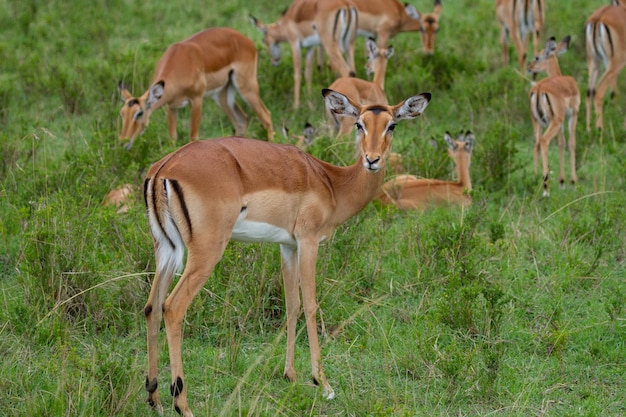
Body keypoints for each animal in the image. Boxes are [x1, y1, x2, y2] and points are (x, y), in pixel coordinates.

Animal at [117, 27, 272, 149]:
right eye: (122, 113)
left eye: (139, 113)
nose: (123, 142)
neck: (179, 63)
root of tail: (247, 40)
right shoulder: (171, 106)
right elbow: (172, 139)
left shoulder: (197, 99)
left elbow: (193, 137)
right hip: (222, 94)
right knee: (241, 120)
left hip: (247, 87)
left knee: (266, 116)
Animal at [141, 88, 428, 412]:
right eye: (359, 124)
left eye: (391, 125)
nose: (372, 160)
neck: (332, 183)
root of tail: (164, 169)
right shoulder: (308, 240)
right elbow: (312, 304)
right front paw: (323, 383)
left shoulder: (287, 246)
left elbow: (293, 305)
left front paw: (290, 375)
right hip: (206, 252)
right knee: (173, 308)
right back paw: (182, 405)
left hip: (166, 250)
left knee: (152, 307)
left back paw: (154, 397)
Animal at [524, 35, 576, 197]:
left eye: (537, 57)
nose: (529, 67)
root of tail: (539, 88)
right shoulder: (573, 114)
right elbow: (571, 143)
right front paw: (572, 182)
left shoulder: (561, 121)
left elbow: (561, 143)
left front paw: (562, 182)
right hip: (554, 122)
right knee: (544, 141)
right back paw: (546, 188)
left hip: (538, 122)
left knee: (536, 145)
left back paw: (535, 180)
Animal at [584, 0, 620, 131]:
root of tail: (597, 19)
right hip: (614, 63)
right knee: (598, 91)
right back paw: (600, 131)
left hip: (594, 61)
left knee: (589, 92)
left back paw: (589, 130)